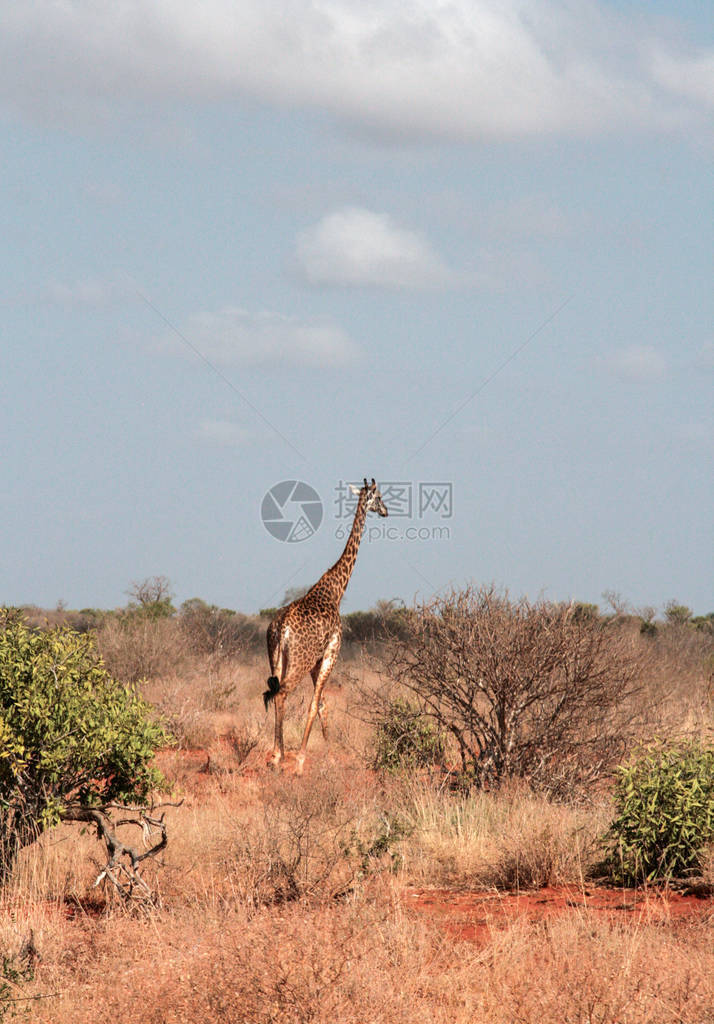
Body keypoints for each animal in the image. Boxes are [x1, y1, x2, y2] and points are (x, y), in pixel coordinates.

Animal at [262, 475, 387, 770]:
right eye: (378, 497)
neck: (335, 590)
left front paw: (328, 756)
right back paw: (281, 756)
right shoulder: (331, 652)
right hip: (299, 661)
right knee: (282, 694)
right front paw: (301, 760)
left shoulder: (317, 661)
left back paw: (276, 754)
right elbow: (316, 703)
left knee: (274, 693)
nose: (386, 511)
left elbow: (322, 705)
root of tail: (282, 629)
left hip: (278, 659)